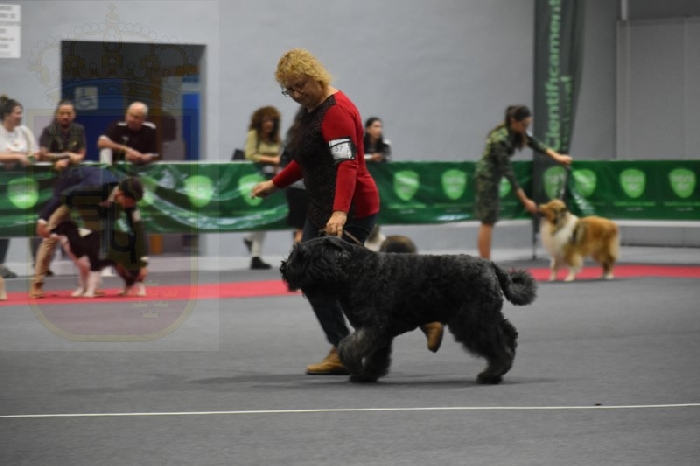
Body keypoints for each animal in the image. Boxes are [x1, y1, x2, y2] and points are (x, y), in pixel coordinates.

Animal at [280, 236, 537, 384]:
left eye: (302, 255)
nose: (284, 268)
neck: (355, 270)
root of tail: (490, 265)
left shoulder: (373, 326)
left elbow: (348, 346)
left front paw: (353, 366)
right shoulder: (377, 331)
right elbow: (376, 354)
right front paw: (367, 375)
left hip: (473, 319)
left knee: (497, 345)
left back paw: (492, 373)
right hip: (486, 315)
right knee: (508, 333)